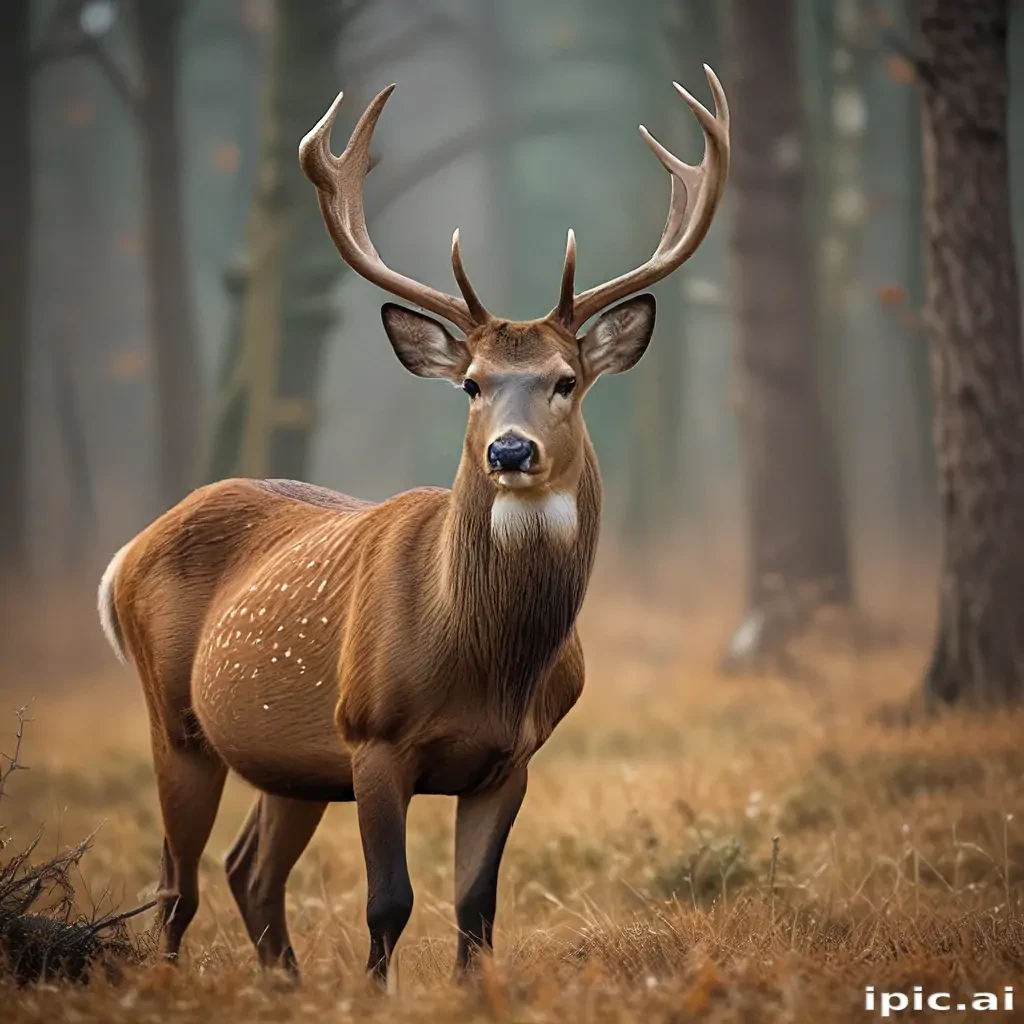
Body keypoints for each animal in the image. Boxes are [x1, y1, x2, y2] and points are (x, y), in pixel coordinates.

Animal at [96, 67, 729, 984]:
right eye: (471, 383)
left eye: (566, 379)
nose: (510, 449)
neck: (485, 662)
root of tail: (125, 555)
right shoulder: (373, 735)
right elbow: (388, 900)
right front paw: (372, 992)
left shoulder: (511, 759)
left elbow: (477, 906)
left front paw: (470, 991)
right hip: (177, 719)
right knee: (177, 882)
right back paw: (169, 984)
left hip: (292, 761)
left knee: (248, 869)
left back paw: (285, 984)